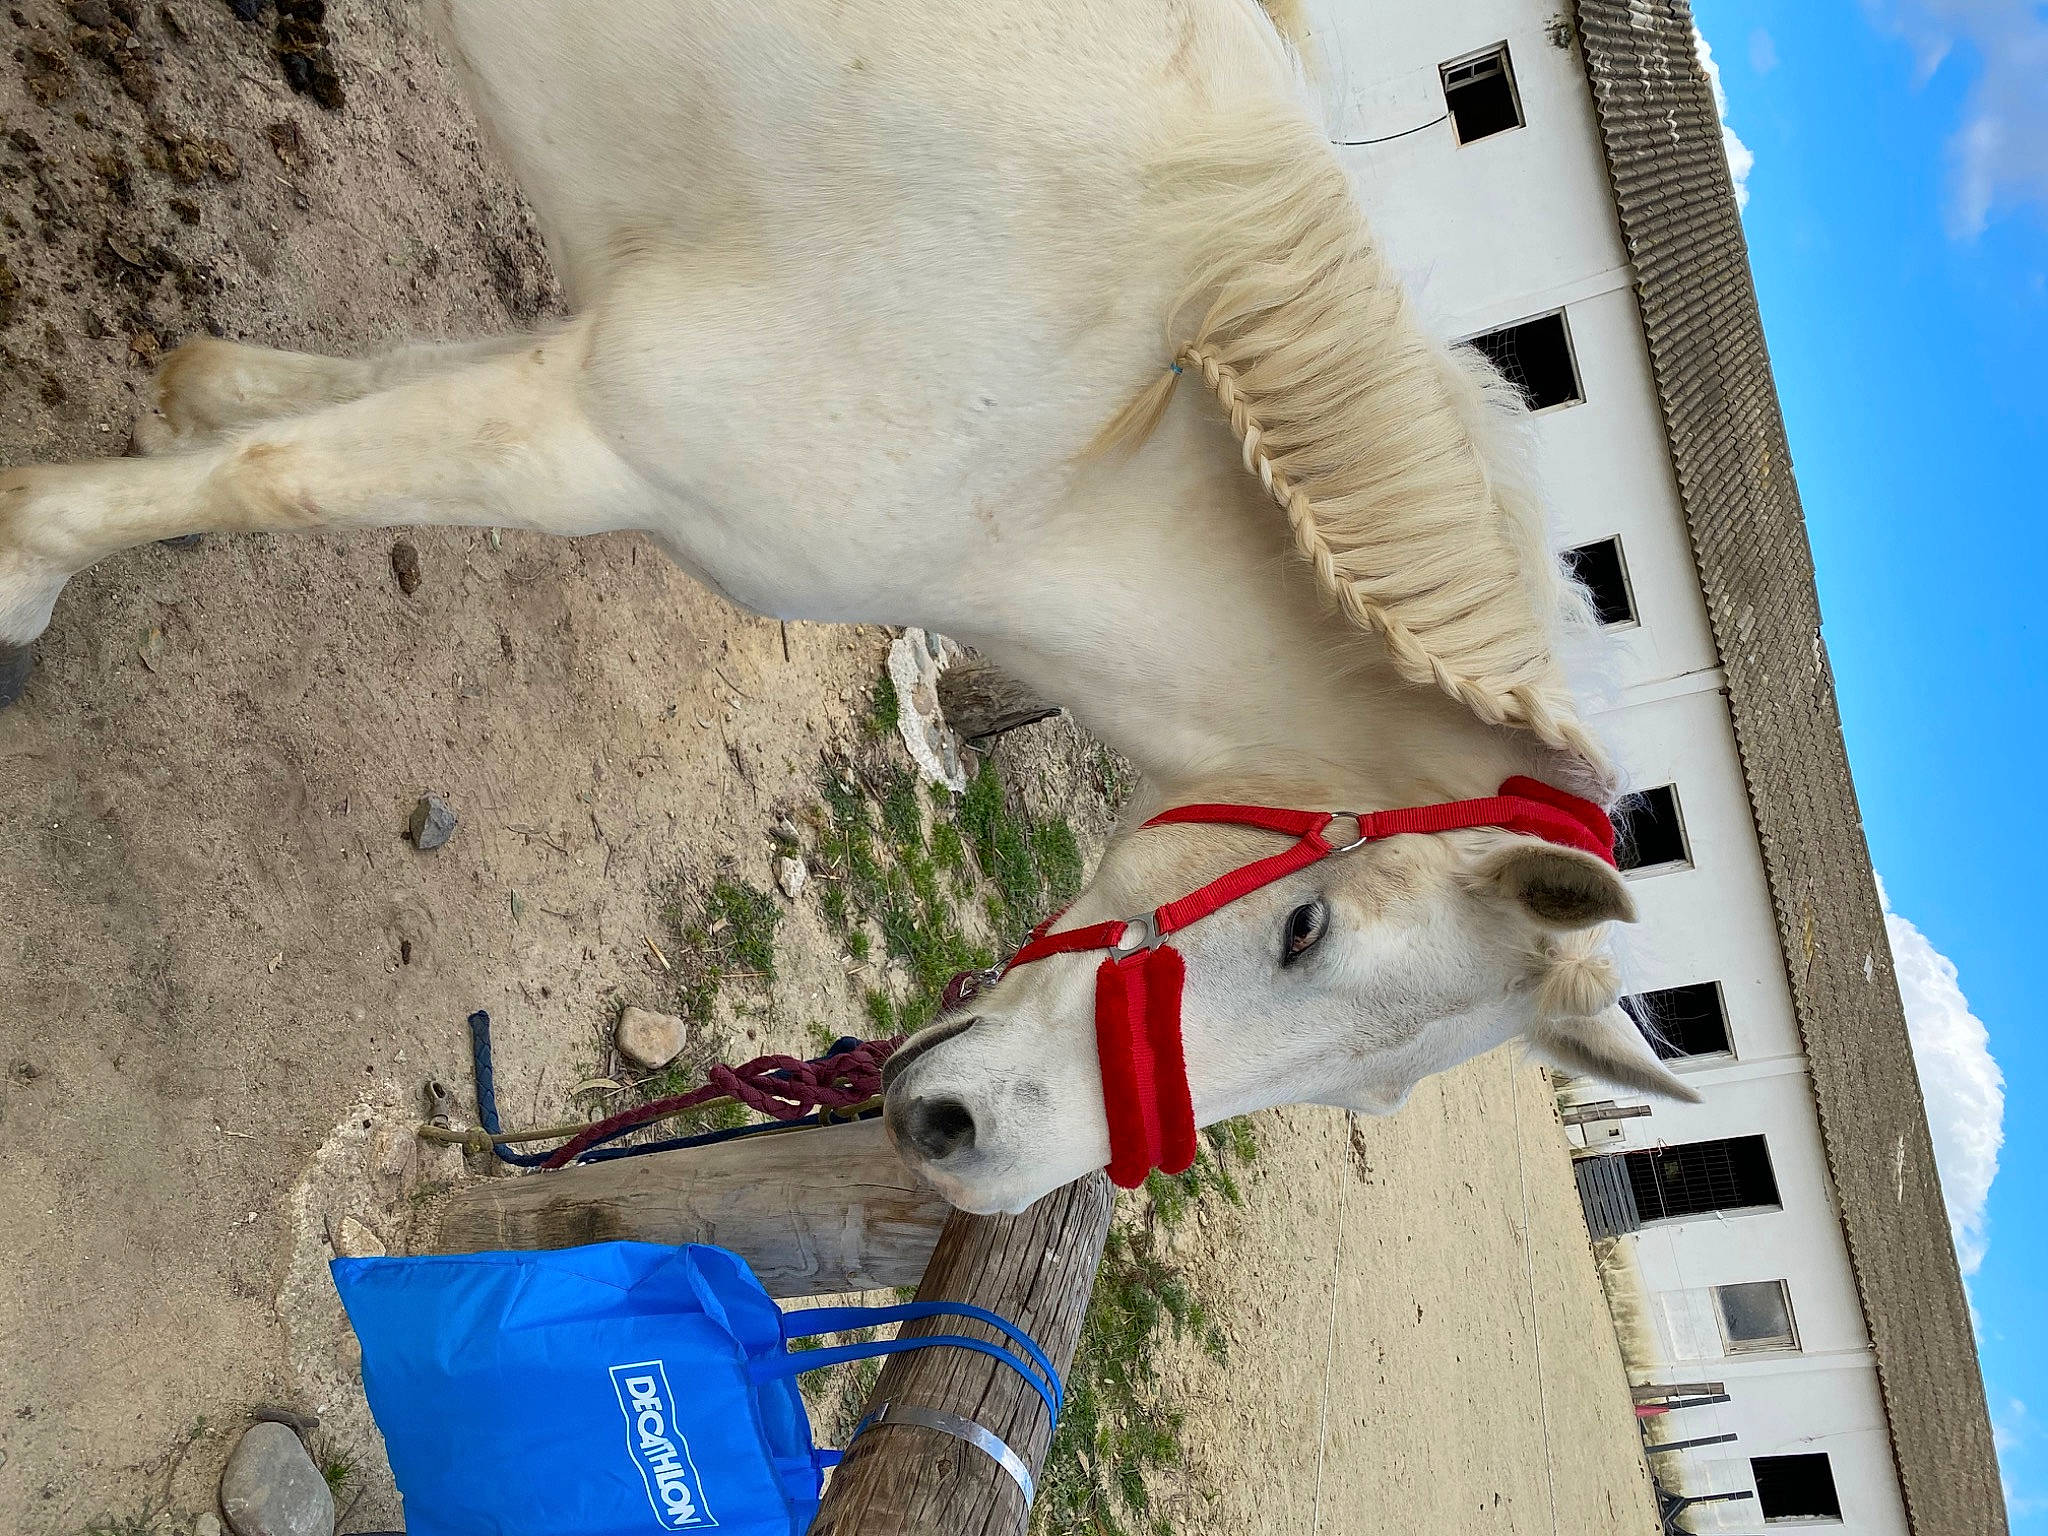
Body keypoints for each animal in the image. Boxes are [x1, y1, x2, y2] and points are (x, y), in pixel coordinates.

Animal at [0, 0, 1695, 1215]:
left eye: (1360, 1095)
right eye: (1303, 929)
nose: (961, 1141)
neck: (1091, 424)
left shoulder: (561, 381)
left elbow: (266, 409)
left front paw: (176, 415)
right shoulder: (590, 440)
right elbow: (271, 477)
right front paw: (24, 579)